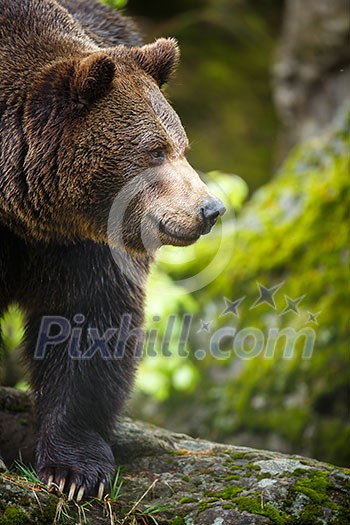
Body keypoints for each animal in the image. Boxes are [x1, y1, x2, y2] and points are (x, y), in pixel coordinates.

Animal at [0, 0, 224, 500]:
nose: (210, 208)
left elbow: (88, 322)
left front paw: (73, 472)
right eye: (155, 151)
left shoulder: (83, 244)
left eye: (182, 146)